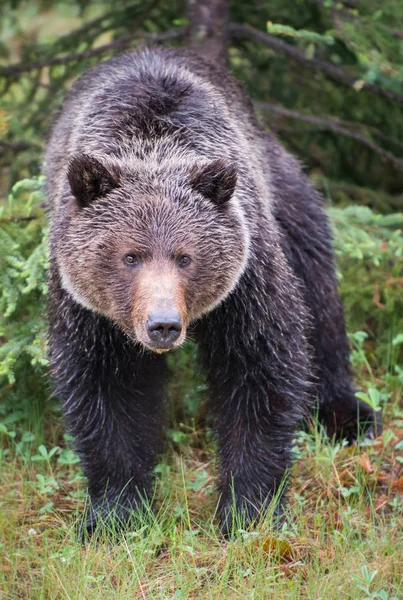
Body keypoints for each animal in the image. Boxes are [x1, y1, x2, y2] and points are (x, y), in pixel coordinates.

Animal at [44, 47, 378, 536]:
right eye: (130, 256)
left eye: (185, 256)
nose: (163, 324)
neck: (152, 146)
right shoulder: (88, 308)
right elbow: (107, 390)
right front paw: (115, 513)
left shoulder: (246, 282)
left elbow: (259, 371)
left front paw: (248, 509)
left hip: (286, 193)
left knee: (318, 292)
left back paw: (348, 414)